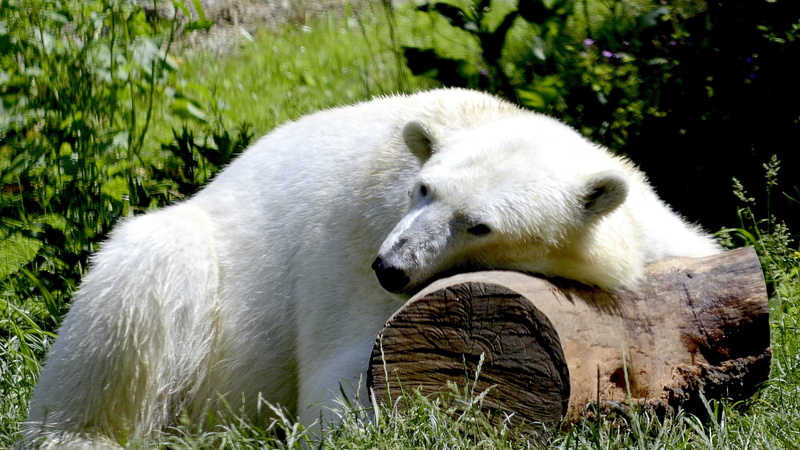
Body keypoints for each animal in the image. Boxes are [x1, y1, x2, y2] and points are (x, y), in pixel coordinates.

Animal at [22, 88, 721, 447]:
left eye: (480, 224)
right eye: (424, 189)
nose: (390, 267)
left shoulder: (658, 235)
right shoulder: (355, 244)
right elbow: (342, 380)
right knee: (150, 274)